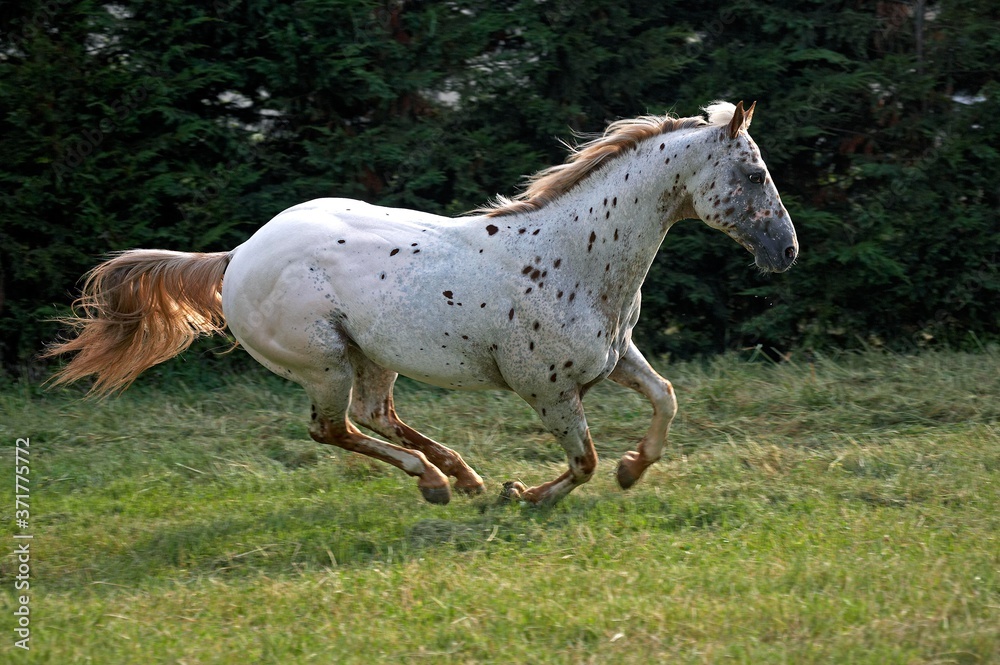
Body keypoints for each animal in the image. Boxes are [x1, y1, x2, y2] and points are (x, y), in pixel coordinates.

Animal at [45, 100, 796, 504]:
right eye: (756, 173)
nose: (785, 251)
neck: (572, 258)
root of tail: (237, 256)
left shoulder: (615, 359)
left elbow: (666, 396)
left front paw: (632, 469)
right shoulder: (548, 390)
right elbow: (580, 461)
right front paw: (528, 496)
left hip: (371, 355)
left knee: (374, 415)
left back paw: (460, 475)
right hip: (325, 362)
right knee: (333, 428)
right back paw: (439, 481)